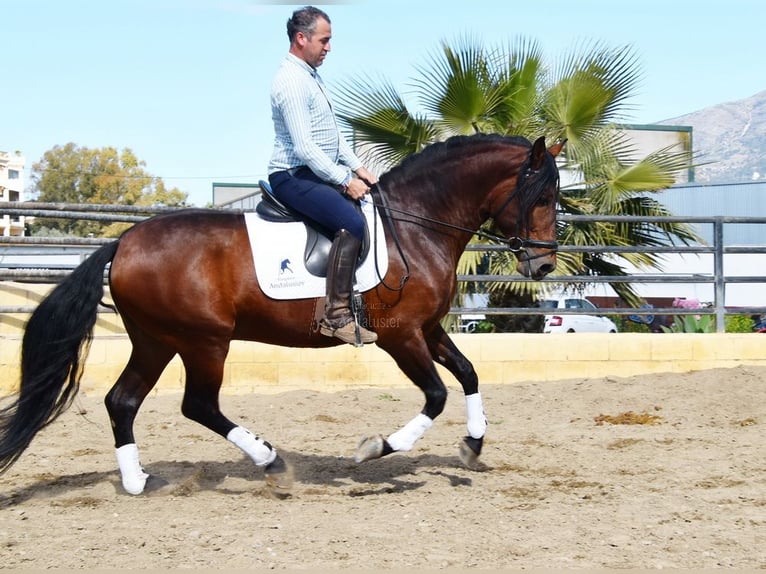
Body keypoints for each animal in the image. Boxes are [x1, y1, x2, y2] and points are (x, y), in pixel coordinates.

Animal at [0, 134, 564, 496]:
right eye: (543, 195)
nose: (543, 264)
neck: (416, 225)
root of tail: (123, 242)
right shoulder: (401, 336)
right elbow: (437, 394)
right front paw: (376, 448)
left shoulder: (427, 330)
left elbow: (468, 374)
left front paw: (473, 444)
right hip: (204, 341)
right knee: (198, 404)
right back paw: (269, 461)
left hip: (157, 341)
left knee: (123, 401)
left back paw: (138, 481)